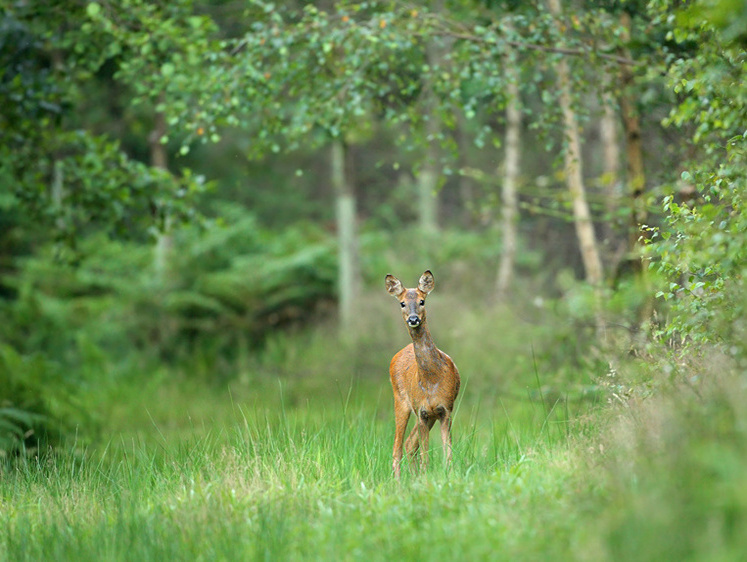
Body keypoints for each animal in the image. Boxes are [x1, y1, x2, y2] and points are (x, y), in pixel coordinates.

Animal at [388, 270, 458, 474]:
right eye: (402, 303)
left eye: (422, 301)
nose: (413, 319)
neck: (431, 380)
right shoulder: (422, 412)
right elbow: (425, 455)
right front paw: (426, 476)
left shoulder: (445, 409)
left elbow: (448, 452)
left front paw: (449, 474)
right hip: (401, 400)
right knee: (397, 448)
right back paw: (399, 481)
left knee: (409, 444)